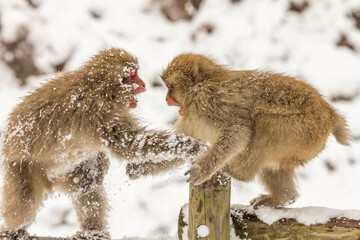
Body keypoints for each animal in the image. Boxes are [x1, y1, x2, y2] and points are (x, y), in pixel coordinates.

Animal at [0, 47, 207, 239]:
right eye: (133, 75)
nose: (142, 84)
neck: (103, 91)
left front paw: (102, 163)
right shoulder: (98, 112)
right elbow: (129, 145)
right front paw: (189, 145)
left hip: (64, 171)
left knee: (86, 184)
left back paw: (93, 231)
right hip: (21, 167)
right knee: (24, 202)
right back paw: (13, 230)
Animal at [128, 53, 350, 209]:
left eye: (169, 87)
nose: (166, 98)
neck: (200, 87)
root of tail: (329, 113)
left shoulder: (209, 101)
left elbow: (238, 129)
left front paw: (203, 168)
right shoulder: (191, 116)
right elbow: (182, 143)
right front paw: (142, 166)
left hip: (303, 130)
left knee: (265, 123)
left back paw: (237, 172)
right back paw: (283, 197)